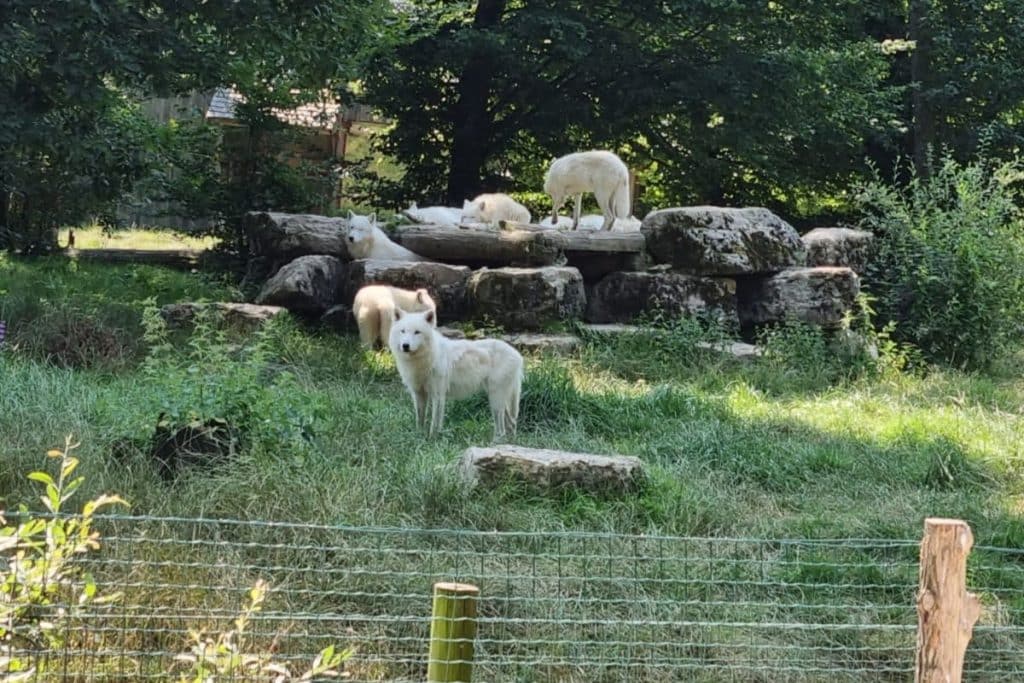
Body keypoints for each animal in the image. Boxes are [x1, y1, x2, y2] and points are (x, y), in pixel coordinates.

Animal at [389, 308, 524, 440]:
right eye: (403, 331)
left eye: (417, 332)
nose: (405, 346)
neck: (424, 359)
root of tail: (518, 355)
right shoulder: (418, 394)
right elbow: (420, 420)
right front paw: (419, 437)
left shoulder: (438, 395)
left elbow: (434, 424)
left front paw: (432, 440)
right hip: (498, 399)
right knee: (512, 423)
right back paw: (510, 443)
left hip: (495, 401)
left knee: (502, 430)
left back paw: (496, 443)